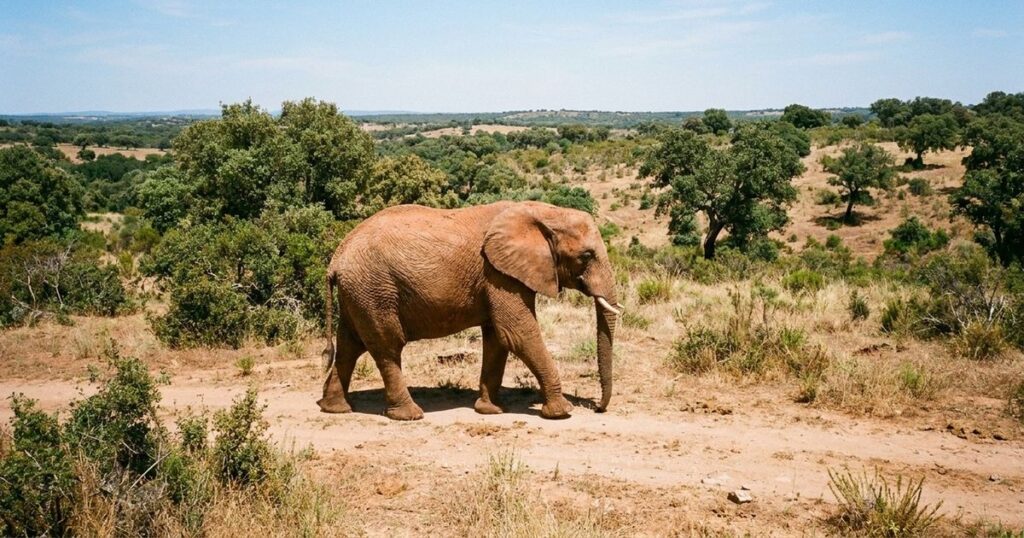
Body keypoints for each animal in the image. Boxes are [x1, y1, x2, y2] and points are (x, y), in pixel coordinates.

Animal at [317, 200, 622, 420]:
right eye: (586, 256)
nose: (598, 408)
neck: (542, 211)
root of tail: (335, 259)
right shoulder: (499, 274)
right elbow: (517, 333)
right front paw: (560, 412)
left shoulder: (497, 277)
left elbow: (497, 338)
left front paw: (490, 411)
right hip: (375, 290)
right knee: (387, 348)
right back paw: (409, 416)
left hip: (359, 292)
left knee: (349, 346)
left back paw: (335, 408)